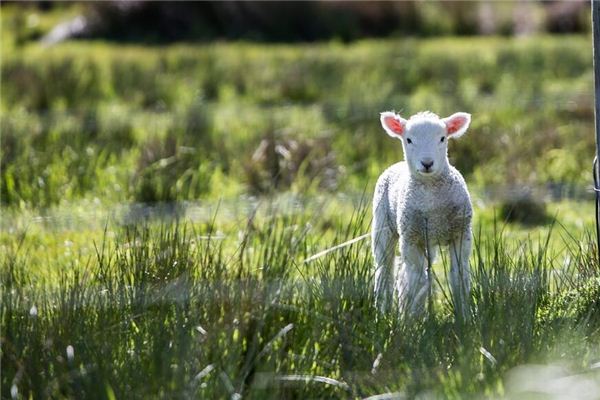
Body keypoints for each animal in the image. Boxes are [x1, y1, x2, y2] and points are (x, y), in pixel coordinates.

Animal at [370, 111, 474, 318]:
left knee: (405, 274)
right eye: (408, 139)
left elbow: (459, 277)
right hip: (383, 226)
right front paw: (413, 320)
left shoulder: (461, 233)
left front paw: (464, 317)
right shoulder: (411, 238)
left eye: (442, 138)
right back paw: (383, 313)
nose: (427, 163)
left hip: (428, 240)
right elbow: (417, 282)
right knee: (385, 271)